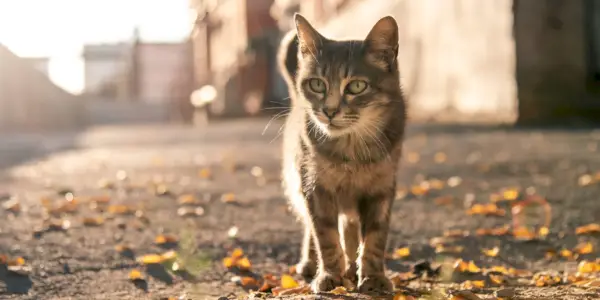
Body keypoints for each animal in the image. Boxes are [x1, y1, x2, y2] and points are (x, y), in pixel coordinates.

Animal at [278, 14, 406, 292]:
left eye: (357, 86)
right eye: (317, 84)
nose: (329, 110)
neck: (351, 151)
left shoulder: (381, 189)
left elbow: (375, 238)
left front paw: (373, 277)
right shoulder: (316, 188)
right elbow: (325, 236)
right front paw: (330, 275)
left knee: (349, 227)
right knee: (312, 227)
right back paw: (312, 263)